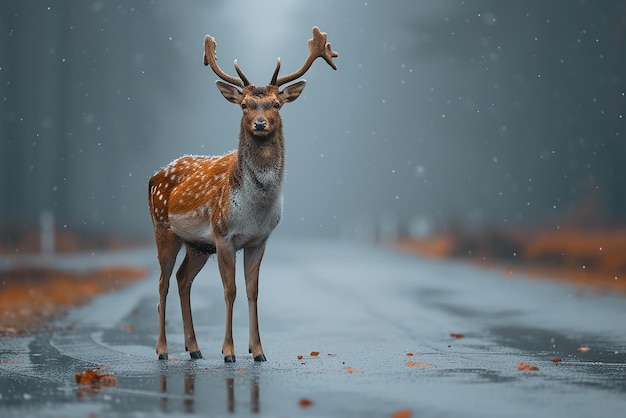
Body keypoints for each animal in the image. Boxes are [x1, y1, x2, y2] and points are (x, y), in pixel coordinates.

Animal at [148, 27, 336, 362]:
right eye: (244, 104)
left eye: (276, 104)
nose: (260, 124)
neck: (254, 209)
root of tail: (152, 176)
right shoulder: (224, 235)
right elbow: (230, 290)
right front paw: (229, 351)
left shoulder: (259, 239)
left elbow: (253, 290)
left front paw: (258, 350)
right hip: (163, 228)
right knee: (162, 283)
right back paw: (163, 350)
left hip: (197, 245)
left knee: (183, 279)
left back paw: (194, 348)